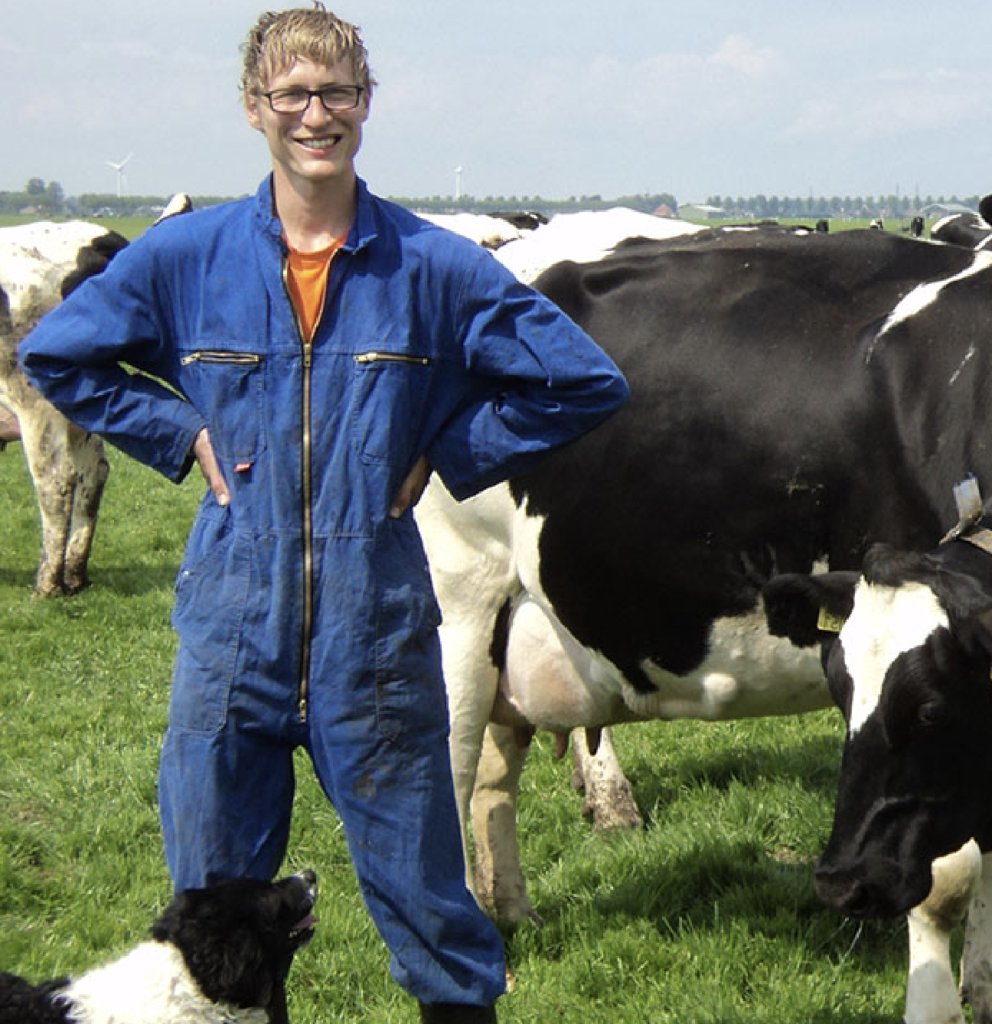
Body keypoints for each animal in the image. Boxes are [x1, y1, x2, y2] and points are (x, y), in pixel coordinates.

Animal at [417, 222, 992, 1024]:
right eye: (920, 705)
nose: (840, 881)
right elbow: (946, 881)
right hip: (456, 599)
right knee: (443, 772)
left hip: (512, 619)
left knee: (493, 777)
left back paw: (509, 918)